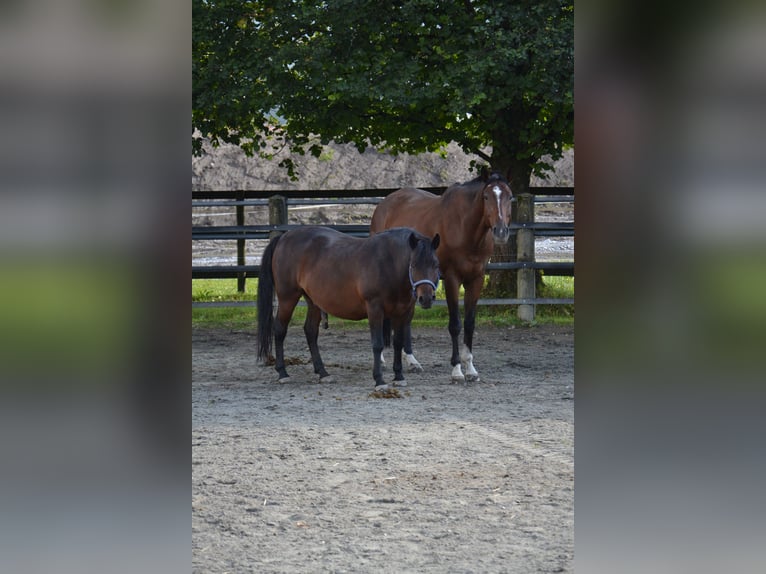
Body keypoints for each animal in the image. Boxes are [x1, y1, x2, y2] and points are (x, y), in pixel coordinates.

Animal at [256, 227, 440, 390]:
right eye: (413, 264)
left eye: (436, 264)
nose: (426, 298)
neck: (389, 263)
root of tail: (283, 238)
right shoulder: (375, 309)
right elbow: (377, 344)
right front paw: (379, 380)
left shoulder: (402, 312)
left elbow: (398, 343)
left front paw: (399, 377)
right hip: (287, 298)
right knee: (280, 329)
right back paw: (283, 373)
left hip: (313, 301)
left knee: (310, 331)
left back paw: (323, 373)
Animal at [368, 169, 512, 382]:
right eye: (486, 197)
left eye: (509, 197)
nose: (501, 232)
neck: (465, 227)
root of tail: (384, 204)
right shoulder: (452, 279)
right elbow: (455, 325)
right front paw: (457, 369)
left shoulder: (476, 280)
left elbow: (469, 324)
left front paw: (471, 369)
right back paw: (385, 360)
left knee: (405, 321)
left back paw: (412, 361)